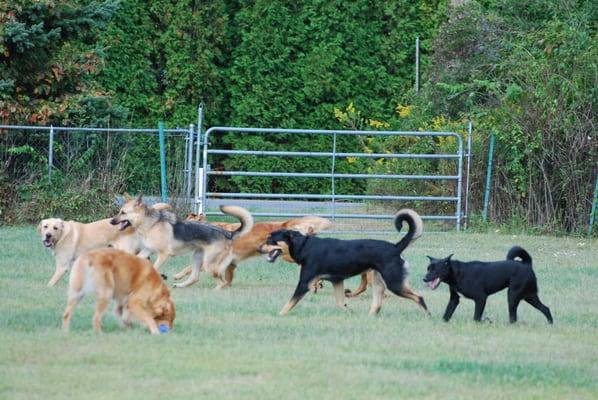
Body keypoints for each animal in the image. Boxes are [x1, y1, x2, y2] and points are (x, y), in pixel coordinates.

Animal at [39, 203, 172, 288]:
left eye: (55, 228)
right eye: (45, 226)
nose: (48, 236)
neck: (63, 234)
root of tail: (131, 223)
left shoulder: (62, 266)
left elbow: (50, 284)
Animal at [110, 195, 253, 290]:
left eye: (123, 213)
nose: (111, 222)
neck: (151, 223)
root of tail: (228, 233)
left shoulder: (163, 254)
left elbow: (154, 267)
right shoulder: (147, 250)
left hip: (208, 264)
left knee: (222, 282)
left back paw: (216, 290)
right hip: (197, 257)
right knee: (195, 277)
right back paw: (180, 285)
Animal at [260, 209, 428, 316]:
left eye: (270, 239)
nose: (258, 248)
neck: (304, 245)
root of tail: (395, 247)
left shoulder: (304, 283)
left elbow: (289, 303)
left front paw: (279, 315)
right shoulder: (337, 281)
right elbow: (341, 303)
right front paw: (350, 312)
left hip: (394, 283)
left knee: (419, 297)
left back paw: (427, 315)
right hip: (378, 281)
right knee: (377, 304)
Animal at [424, 245, 556, 324]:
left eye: (435, 270)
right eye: (428, 268)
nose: (424, 278)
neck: (458, 273)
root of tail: (527, 264)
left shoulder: (481, 298)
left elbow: (476, 317)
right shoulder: (454, 299)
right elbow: (447, 313)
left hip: (513, 296)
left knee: (514, 316)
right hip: (529, 296)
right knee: (546, 308)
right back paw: (550, 324)